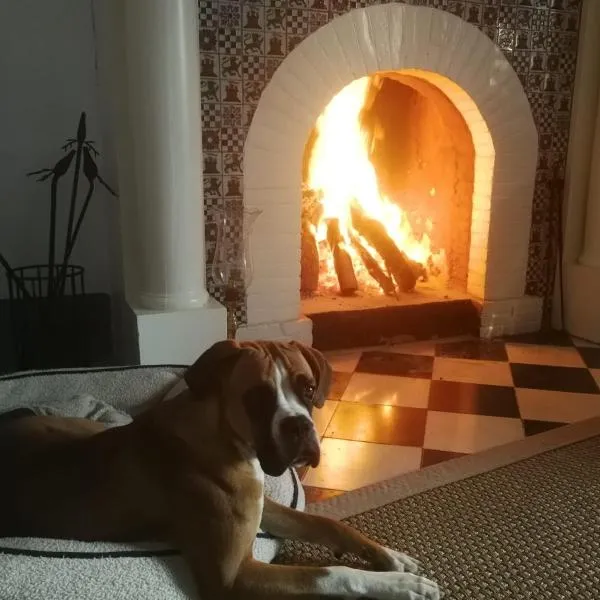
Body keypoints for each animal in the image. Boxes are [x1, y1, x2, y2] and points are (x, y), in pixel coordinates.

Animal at [1, 340, 440, 596]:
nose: (300, 425)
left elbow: (331, 525)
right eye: (257, 397)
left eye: (308, 388)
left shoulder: (267, 507)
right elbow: (331, 574)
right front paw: (399, 584)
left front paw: (390, 557)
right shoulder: (234, 575)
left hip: (84, 426)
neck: (225, 437)